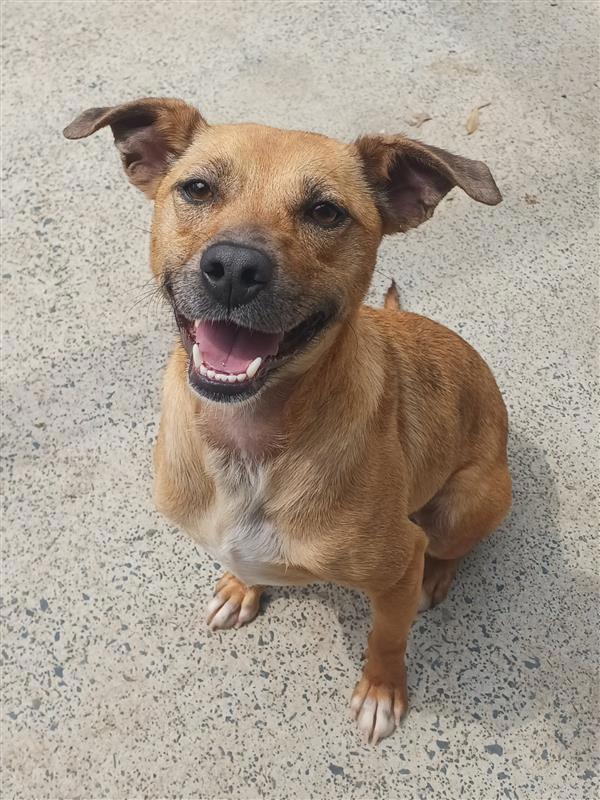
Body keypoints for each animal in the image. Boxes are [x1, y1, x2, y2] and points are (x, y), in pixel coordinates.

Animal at [64, 98, 511, 744]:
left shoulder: (396, 563)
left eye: (325, 212)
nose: (232, 268)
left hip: (464, 503)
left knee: (450, 545)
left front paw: (382, 691)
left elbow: (387, 637)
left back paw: (436, 575)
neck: (246, 442)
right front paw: (241, 587)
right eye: (197, 189)